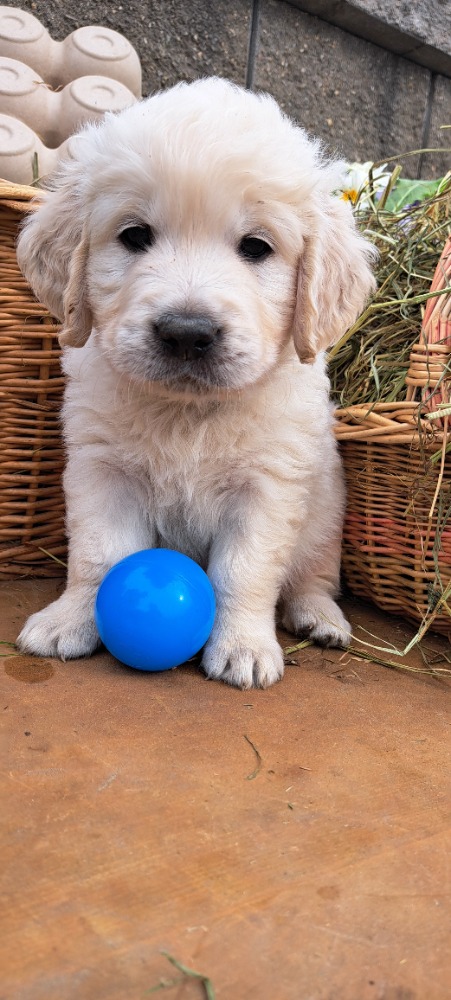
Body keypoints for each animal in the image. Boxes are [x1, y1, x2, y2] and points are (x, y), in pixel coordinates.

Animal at [16, 77, 376, 689]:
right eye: (135, 236)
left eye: (256, 247)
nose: (187, 333)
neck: (188, 412)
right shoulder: (102, 471)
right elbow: (97, 555)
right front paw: (69, 620)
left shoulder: (268, 487)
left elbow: (246, 571)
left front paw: (244, 647)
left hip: (325, 519)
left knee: (312, 578)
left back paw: (320, 619)